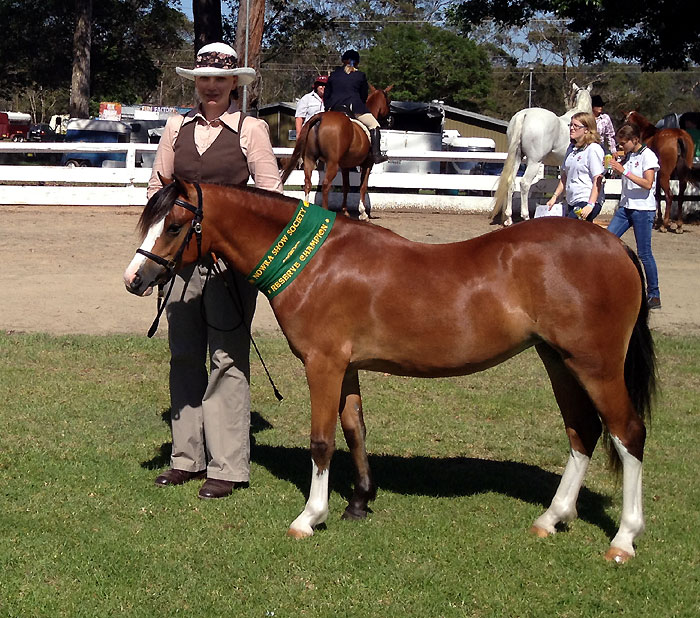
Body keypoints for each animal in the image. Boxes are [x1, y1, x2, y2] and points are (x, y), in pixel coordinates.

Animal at [124, 178, 656, 563]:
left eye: (174, 226)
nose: (135, 279)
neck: (317, 262)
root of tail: (616, 247)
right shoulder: (346, 367)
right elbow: (354, 428)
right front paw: (359, 502)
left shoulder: (323, 365)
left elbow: (322, 440)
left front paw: (310, 517)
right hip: (558, 361)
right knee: (583, 432)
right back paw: (552, 517)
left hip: (596, 366)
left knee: (628, 432)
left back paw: (624, 540)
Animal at [280, 85, 393, 220]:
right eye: (389, 102)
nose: (390, 120)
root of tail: (321, 117)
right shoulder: (367, 164)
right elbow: (363, 186)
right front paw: (363, 214)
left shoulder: (345, 166)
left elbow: (346, 186)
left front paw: (345, 211)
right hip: (332, 163)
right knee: (325, 185)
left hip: (309, 159)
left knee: (307, 183)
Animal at [491, 83, 593, 226]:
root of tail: (525, 114)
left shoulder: (562, 165)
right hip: (534, 162)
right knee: (524, 184)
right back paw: (526, 216)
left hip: (517, 158)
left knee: (511, 182)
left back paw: (509, 219)